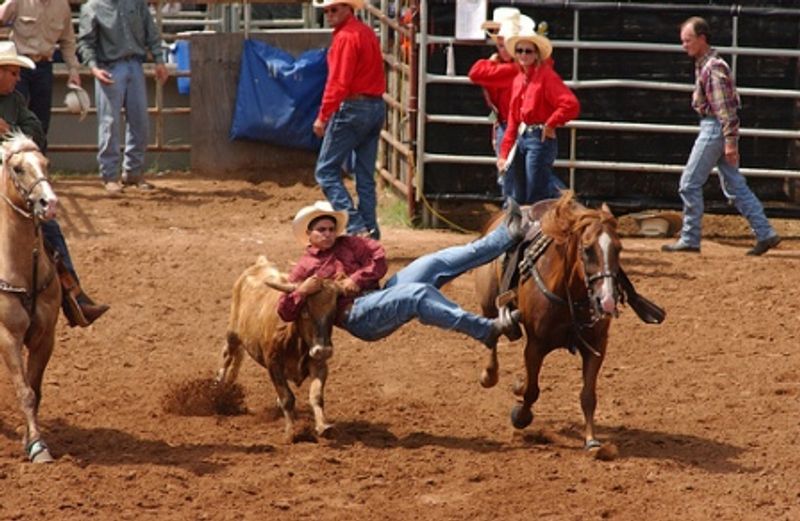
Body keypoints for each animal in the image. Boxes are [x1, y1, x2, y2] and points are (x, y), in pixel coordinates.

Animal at [476, 192, 624, 450]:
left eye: (618, 249)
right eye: (587, 250)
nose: (607, 300)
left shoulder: (596, 346)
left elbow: (588, 395)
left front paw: (591, 440)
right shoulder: (535, 346)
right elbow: (532, 390)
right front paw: (520, 416)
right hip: (488, 305)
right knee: (492, 337)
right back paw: (489, 375)